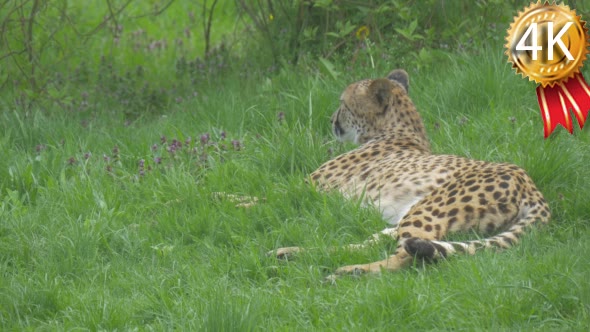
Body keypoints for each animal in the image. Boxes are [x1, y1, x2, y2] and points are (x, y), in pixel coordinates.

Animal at [272, 68, 552, 278]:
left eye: (343, 104)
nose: (331, 120)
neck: (399, 130)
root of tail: (530, 185)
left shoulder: (306, 187)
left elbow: (268, 194)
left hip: (427, 210)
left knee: (404, 256)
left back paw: (350, 271)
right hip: (409, 214)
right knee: (367, 242)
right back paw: (293, 252)